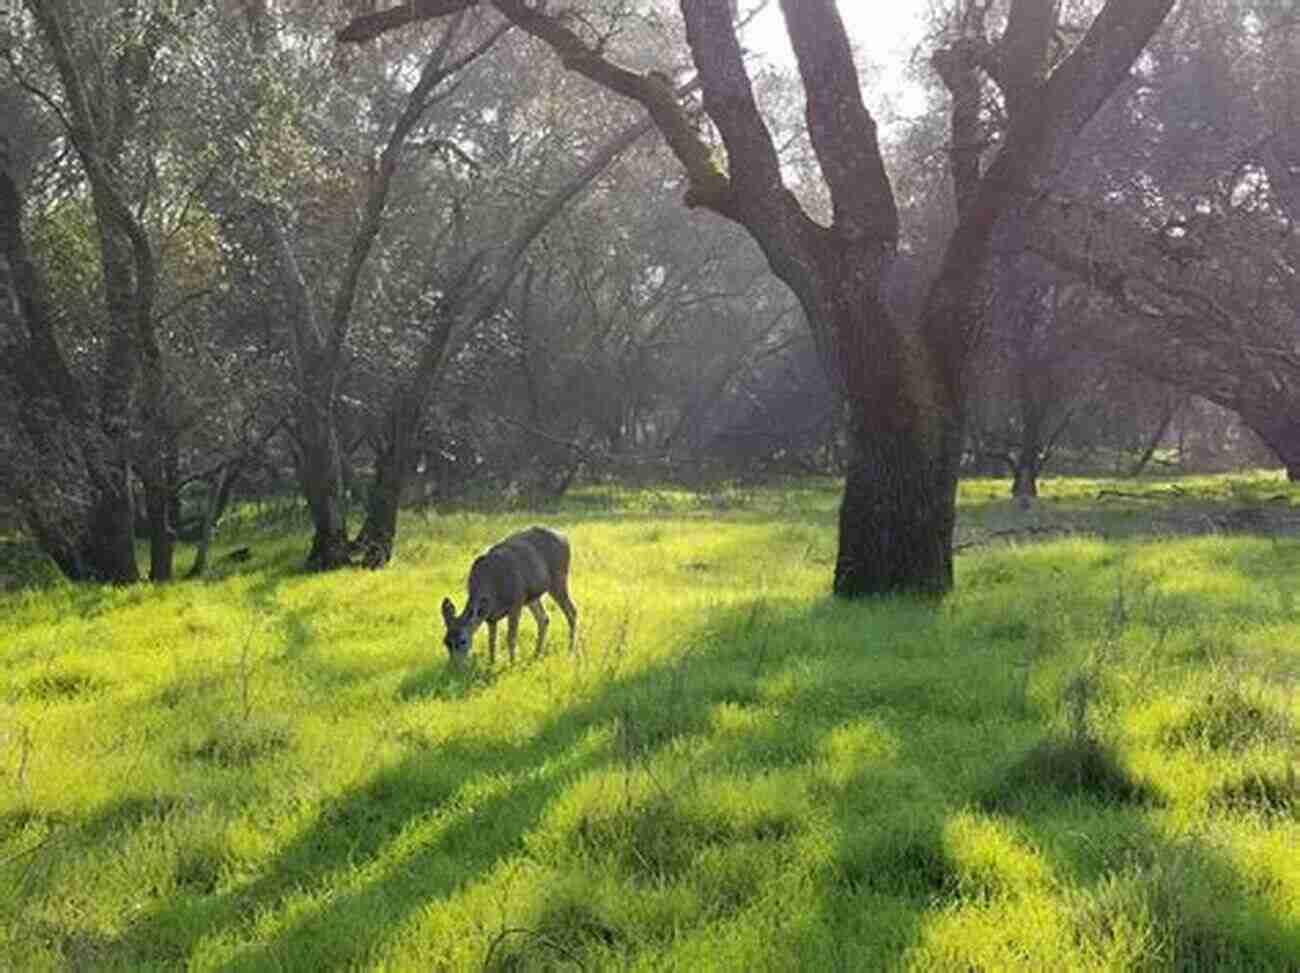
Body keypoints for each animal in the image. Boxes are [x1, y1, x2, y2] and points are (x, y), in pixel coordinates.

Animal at [439, 525, 577, 671]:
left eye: (463, 641)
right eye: (445, 642)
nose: (453, 667)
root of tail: (564, 537)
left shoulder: (516, 602)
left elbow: (511, 637)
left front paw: (512, 664)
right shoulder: (491, 617)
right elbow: (492, 642)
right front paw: (491, 664)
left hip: (558, 579)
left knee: (571, 612)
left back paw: (570, 650)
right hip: (532, 596)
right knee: (544, 618)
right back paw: (536, 655)